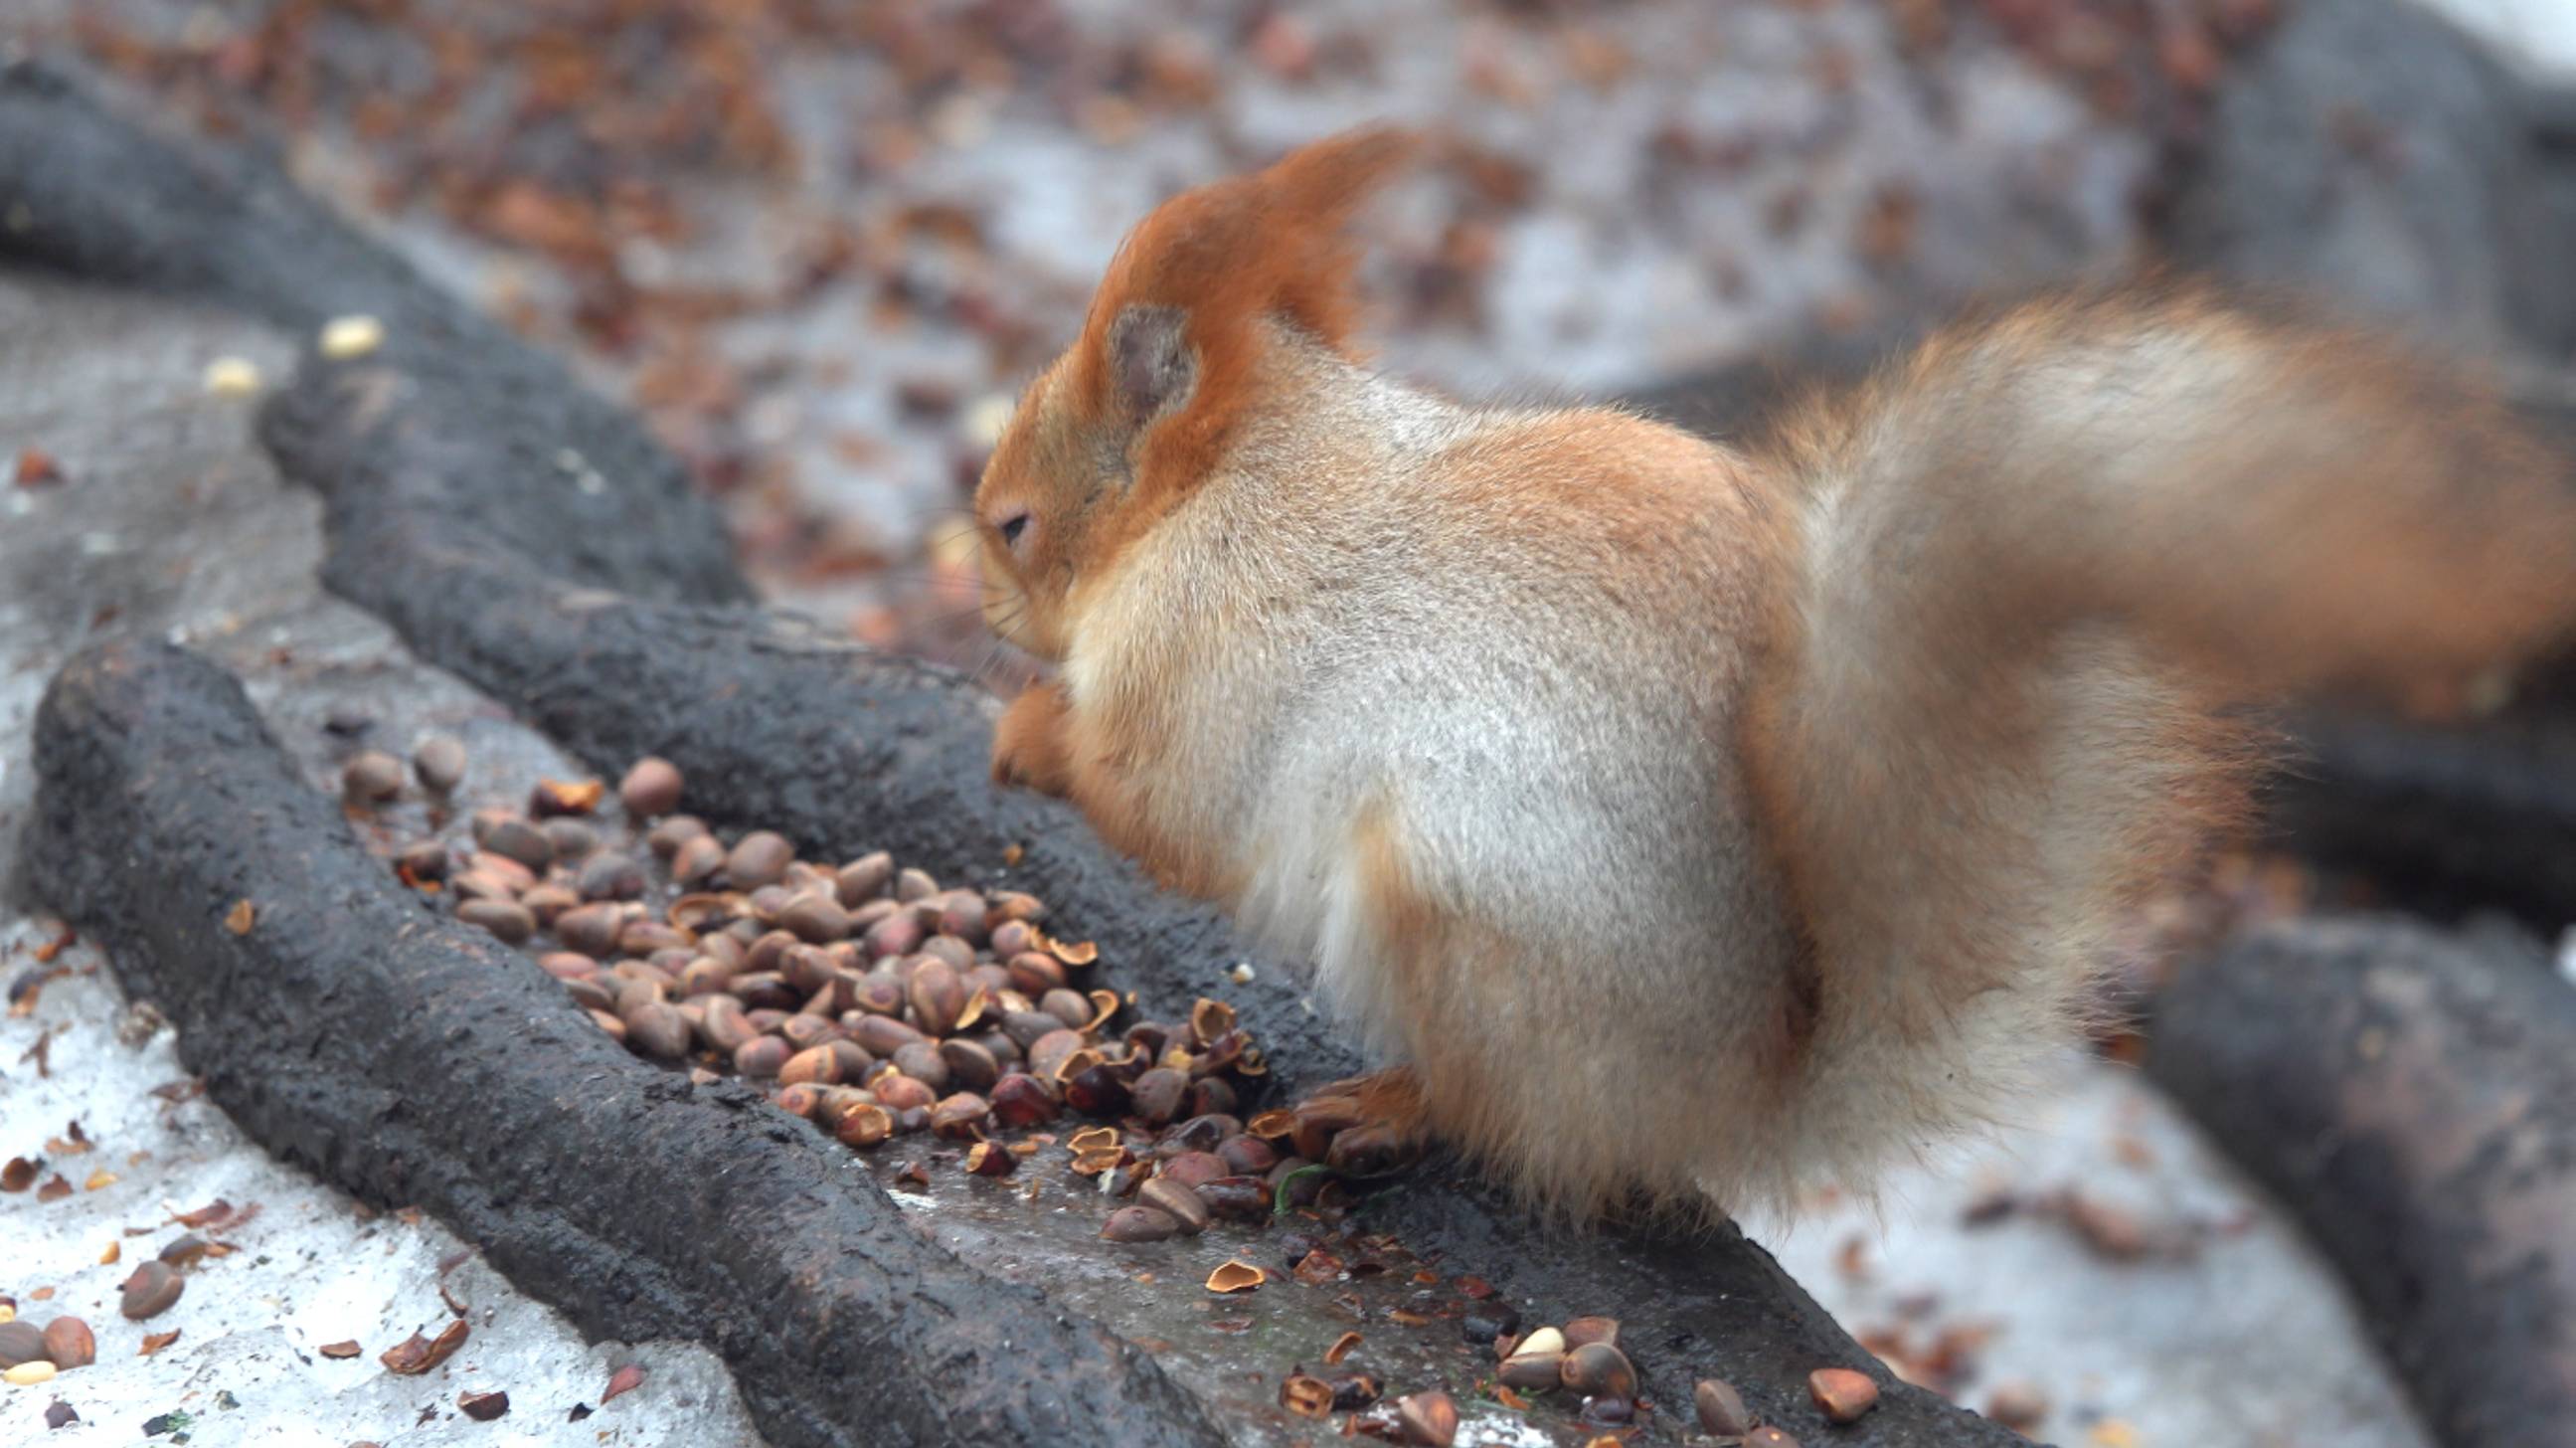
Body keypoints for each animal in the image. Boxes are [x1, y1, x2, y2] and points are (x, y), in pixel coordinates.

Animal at [968, 129, 2576, 1215]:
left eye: (1014, 525)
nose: (982, 599)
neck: (1239, 473)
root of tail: (1738, 1099)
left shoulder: (1201, 651)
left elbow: (1160, 805)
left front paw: (1026, 735)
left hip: (1454, 903)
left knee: (1522, 1130)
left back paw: (1381, 1108)